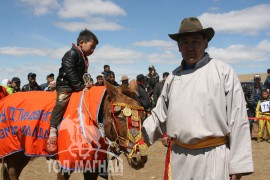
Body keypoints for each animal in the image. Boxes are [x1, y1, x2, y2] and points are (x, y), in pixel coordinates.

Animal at [0, 81, 148, 180]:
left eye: (143, 116)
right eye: (120, 117)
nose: (139, 157)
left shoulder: (92, 166)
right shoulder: (64, 165)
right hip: (14, 152)